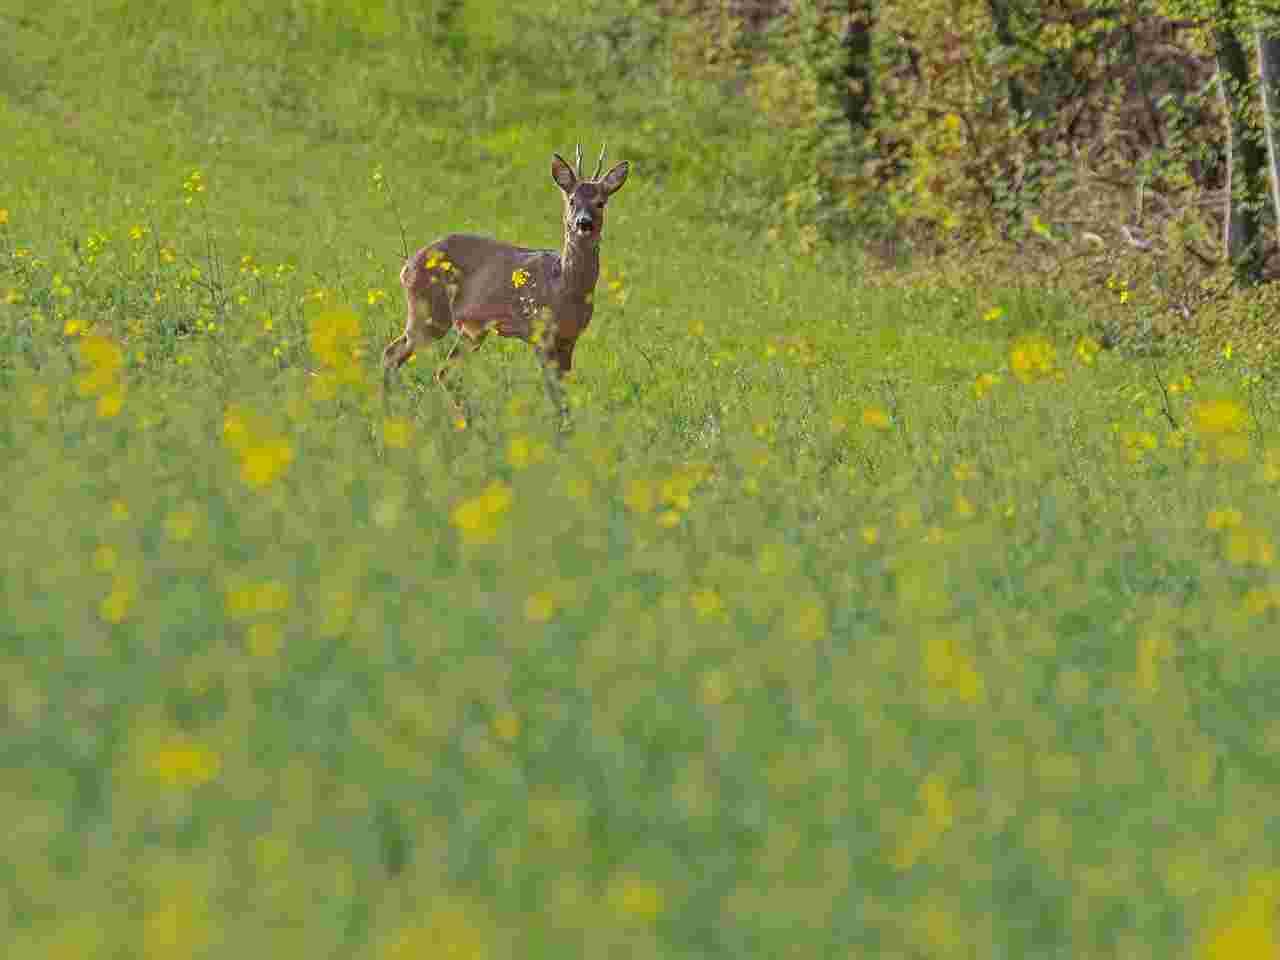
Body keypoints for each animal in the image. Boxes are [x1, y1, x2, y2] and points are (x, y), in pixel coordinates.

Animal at [384, 144, 634, 427]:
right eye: (572, 200)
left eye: (600, 202)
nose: (584, 222)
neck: (564, 287)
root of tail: (407, 267)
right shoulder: (541, 335)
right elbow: (556, 395)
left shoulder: (568, 339)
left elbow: (564, 394)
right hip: (429, 314)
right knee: (394, 354)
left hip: (470, 330)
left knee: (441, 371)